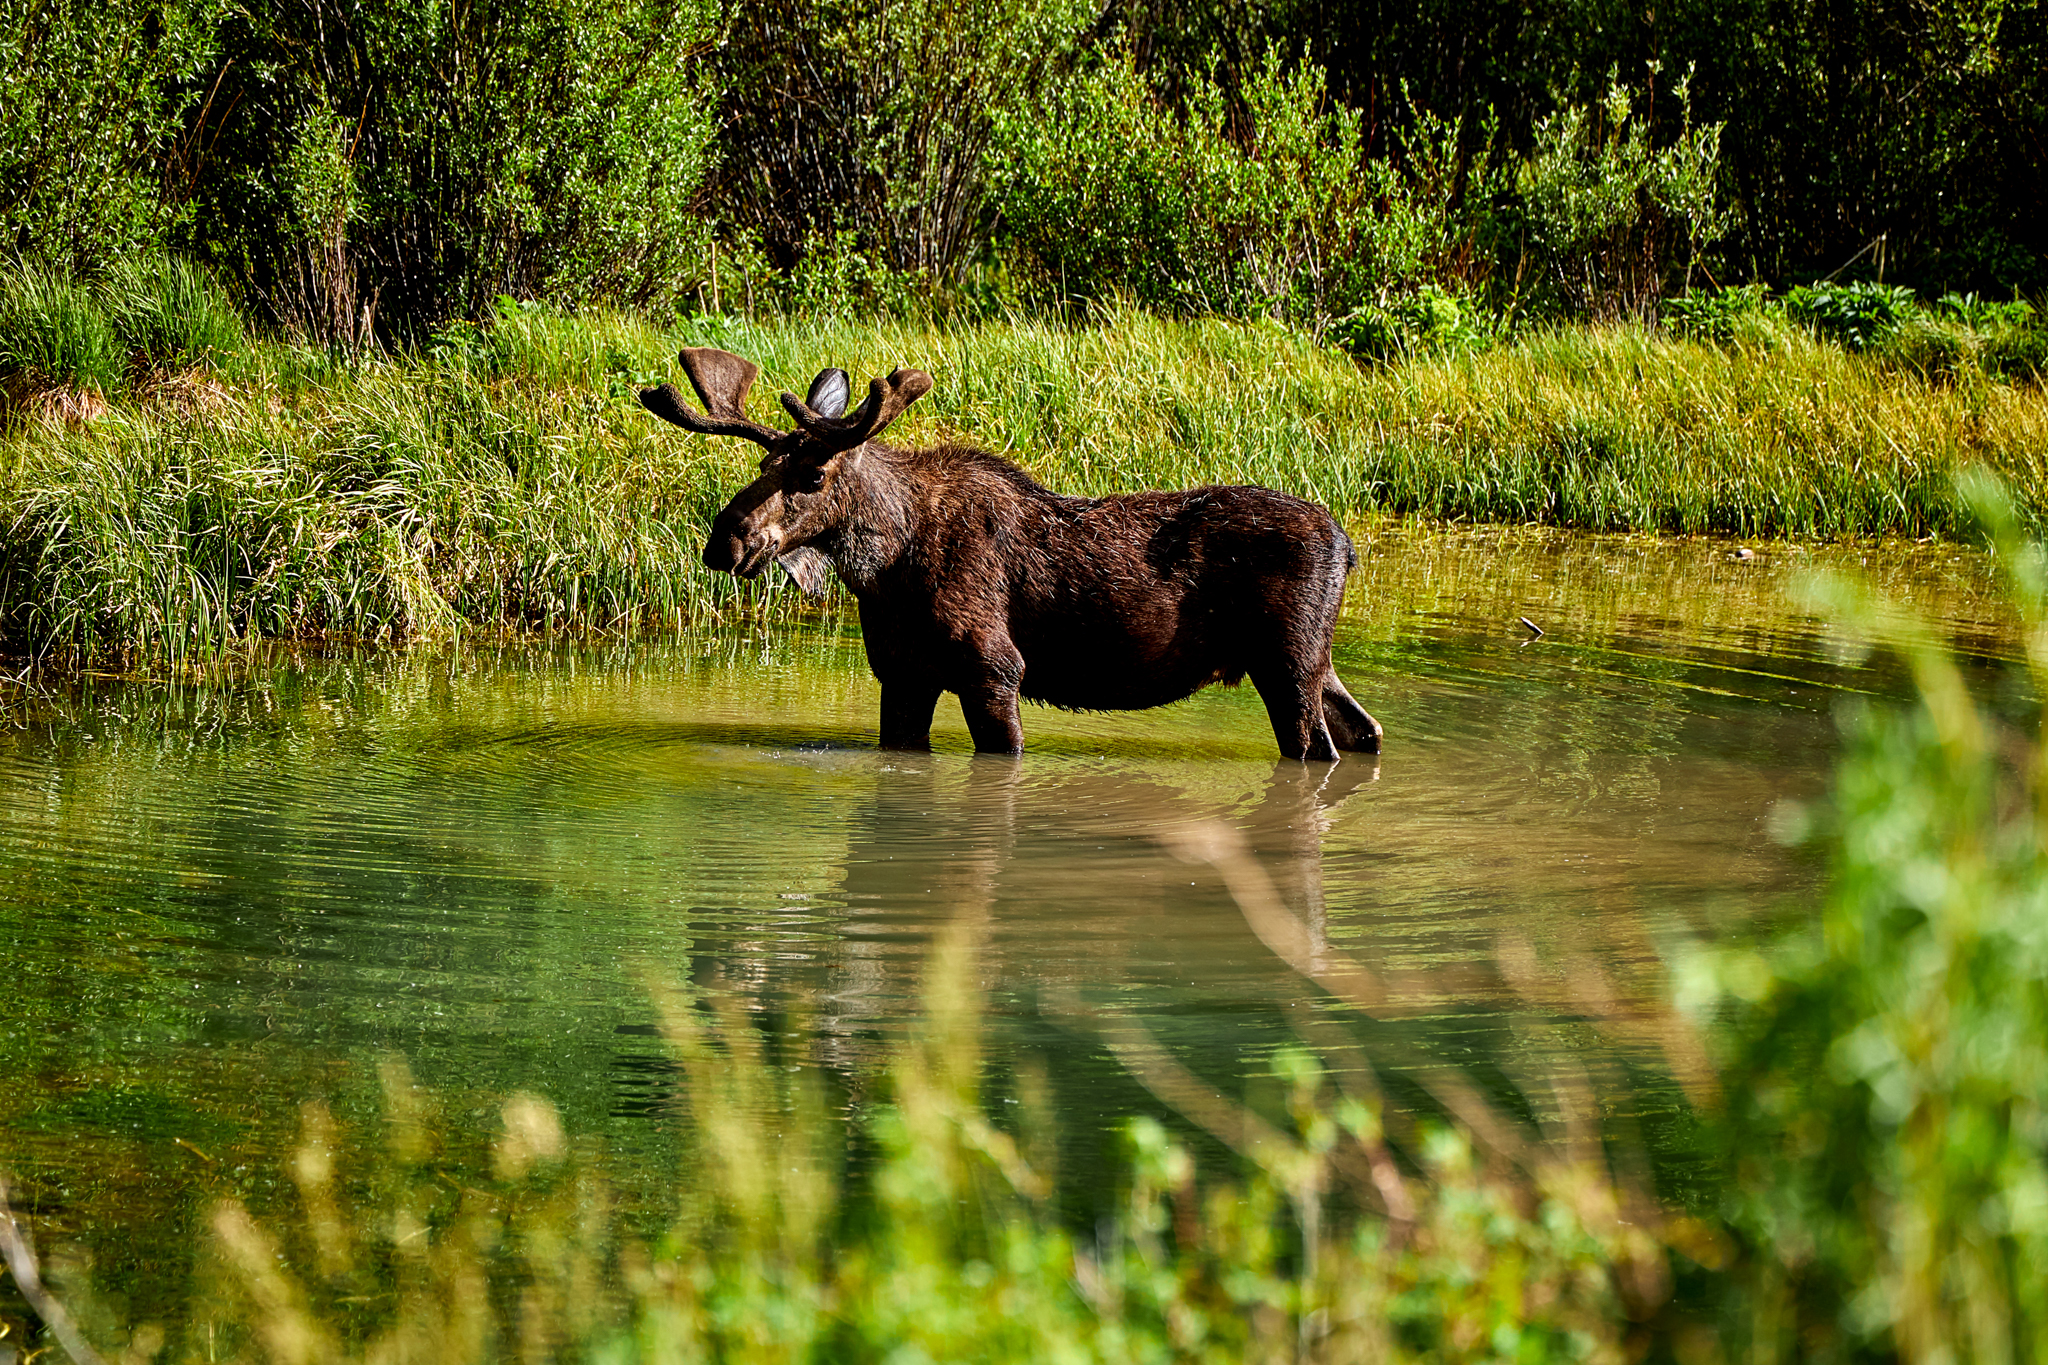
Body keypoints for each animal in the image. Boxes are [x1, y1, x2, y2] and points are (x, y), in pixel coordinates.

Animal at [638, 347, 1376, 765]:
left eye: (815, 476)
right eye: (764, 464)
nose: (724, 540)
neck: (886, 569)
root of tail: (1347, 548)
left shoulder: (993, 669)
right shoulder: (902, 676)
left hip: (1285, 661)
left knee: (1316, 747)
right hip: (1314, 660)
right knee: (1363, 732)